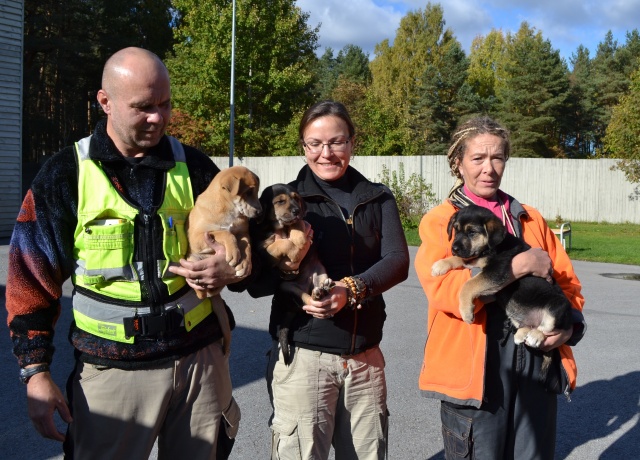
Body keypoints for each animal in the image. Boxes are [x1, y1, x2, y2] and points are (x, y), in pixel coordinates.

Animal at [186, 165, 262, 355]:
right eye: (248, 192)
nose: (260, 212)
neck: (229, 209)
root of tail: (213, 294)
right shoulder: (198, 237)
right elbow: (224, 233)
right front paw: (234, 253)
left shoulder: (244, 232)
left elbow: (245, 245)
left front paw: (244, 264)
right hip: (193, 259)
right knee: (200, 292)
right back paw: (200, 287)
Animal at [255, 183, 334, 364]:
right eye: (280, 201)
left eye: (296, 198)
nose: (297, 210)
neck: (280, 227)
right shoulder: (264, 253)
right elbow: (282, 244)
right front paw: (294, 249)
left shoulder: (301, 222)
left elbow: (298, 224)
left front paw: (299, 238)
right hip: (288, 288)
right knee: (307, 300)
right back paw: (317, 294)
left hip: (320, 273)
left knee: (317, 292)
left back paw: (324, 288)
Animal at [431, 204, 573, 379]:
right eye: (456, 230)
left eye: (472, 232)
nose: (454, 248)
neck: (489, 248)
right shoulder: (473, 259)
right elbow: (462, 260)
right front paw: (440, 265)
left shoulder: (497, 270)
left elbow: (468, 284)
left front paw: (466, 311)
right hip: (514, 312)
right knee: (531, 326)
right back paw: (521, 334)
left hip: (557, 305)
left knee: (549, 328)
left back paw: (535, 336)